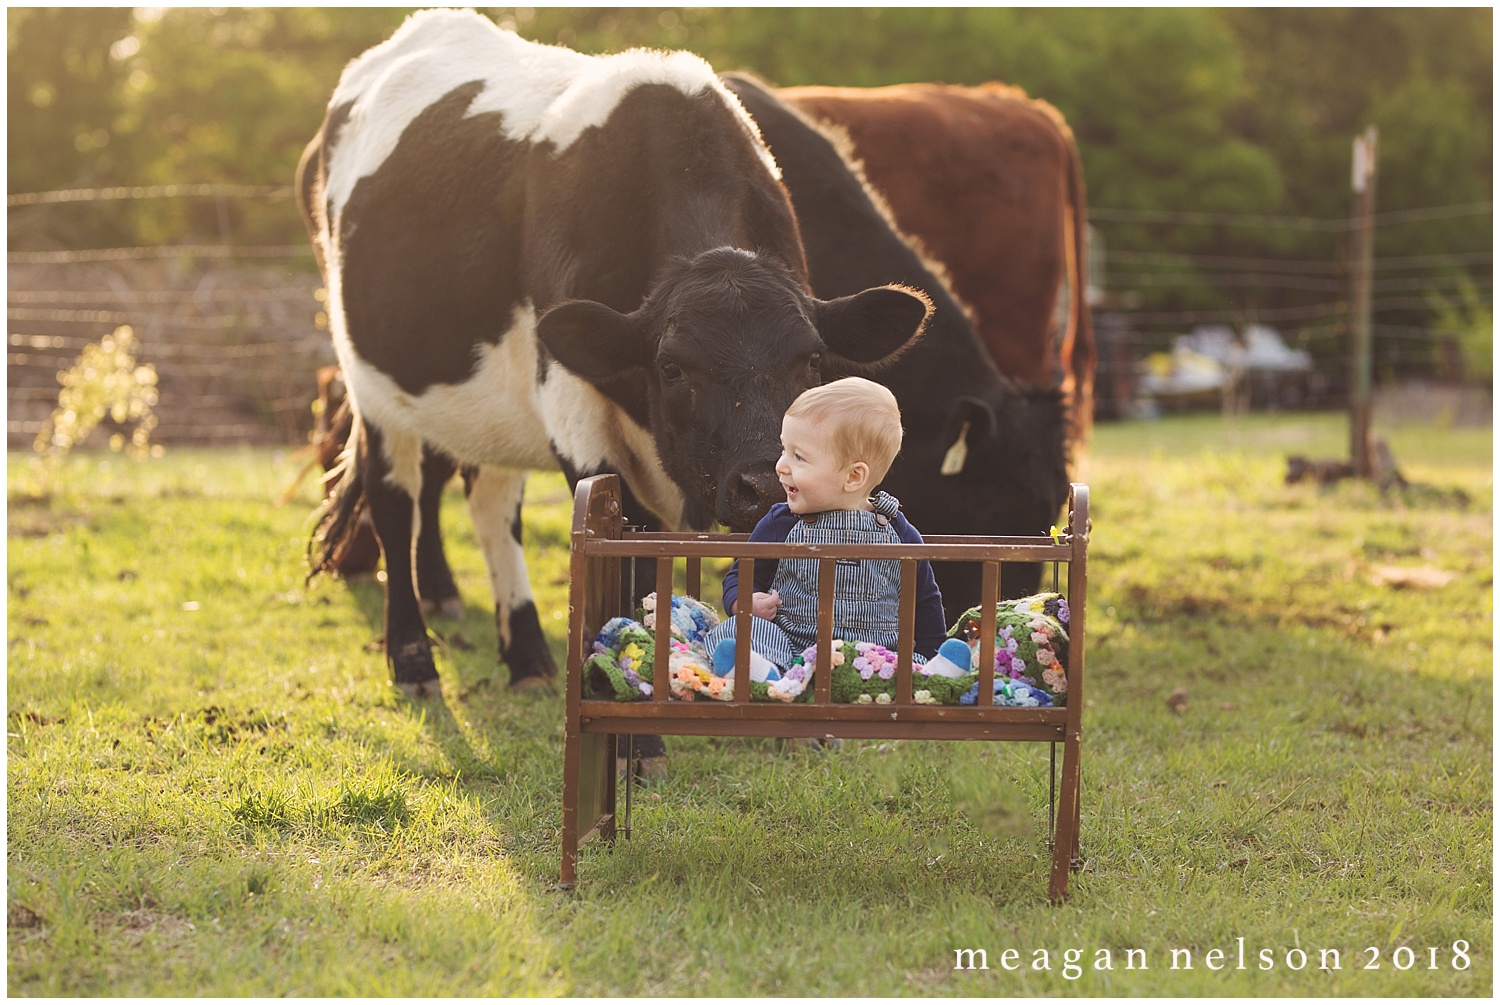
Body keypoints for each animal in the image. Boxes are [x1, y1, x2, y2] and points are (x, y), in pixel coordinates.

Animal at [294, 11, 930, 693]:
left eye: (811, 360)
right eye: (671, 367)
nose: (764, 483)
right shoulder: (575, 417)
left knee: (491, 505)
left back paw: (527, 654)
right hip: (374, 388)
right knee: (395, 500)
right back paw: (413, 656)